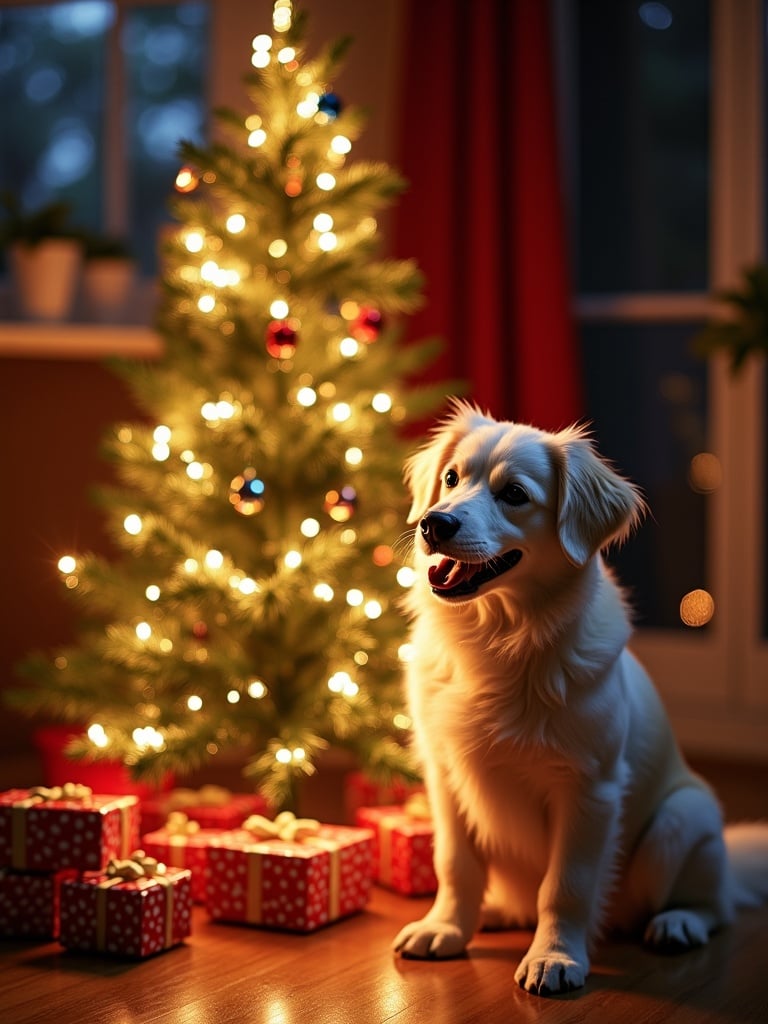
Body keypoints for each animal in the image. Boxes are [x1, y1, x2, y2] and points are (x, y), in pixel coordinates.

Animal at [397, 403, 768, 995]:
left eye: (515, 494)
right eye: (451, 478)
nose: (435, 523)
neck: (498, 640)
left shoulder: (588, 789)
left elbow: (565, 885)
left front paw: (555, 956)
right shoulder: (445, 774)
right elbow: (455, 863)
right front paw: (447, 928)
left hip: (681, 821)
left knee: (715, 907)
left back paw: (678, 922)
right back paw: (496, 911)